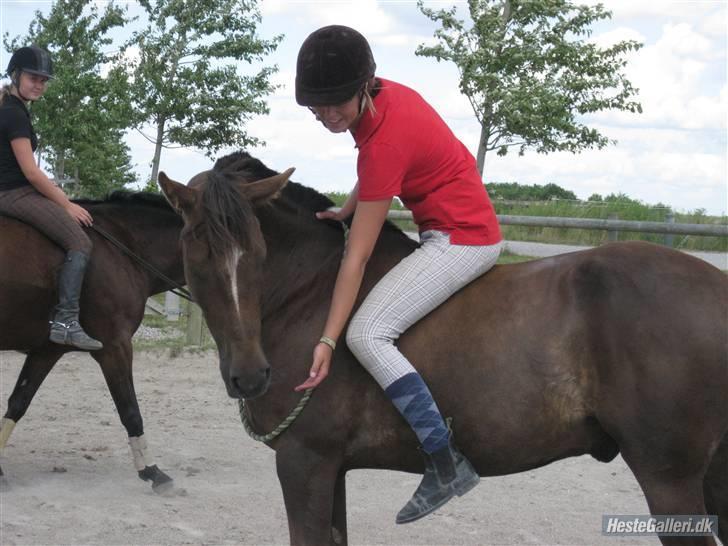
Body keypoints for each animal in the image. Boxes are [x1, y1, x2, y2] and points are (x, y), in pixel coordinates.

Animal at [0, 192, 185, 488]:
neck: (125, 247)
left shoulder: (47, 349)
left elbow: (19, 401)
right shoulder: (114, 346)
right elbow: (129, 409)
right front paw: (152, 472)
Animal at [159, 151, 728, 540]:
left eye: (256, 252)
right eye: (197, 251)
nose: (251, 375)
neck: (315, 293)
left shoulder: (305, 463)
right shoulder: (330, 467)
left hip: (669, 478)